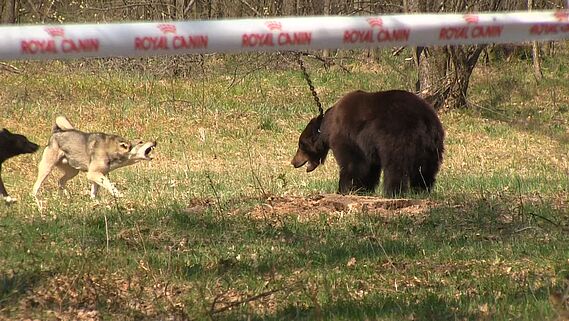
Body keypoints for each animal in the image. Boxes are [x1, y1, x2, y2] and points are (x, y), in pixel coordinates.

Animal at [292, 89, 444, 196]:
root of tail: (424, 119)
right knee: (426, 170)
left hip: (398, 138)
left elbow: (352, 164)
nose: (293, 162)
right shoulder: (367, 146)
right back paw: (421, 190)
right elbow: (369, 168)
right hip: (432, 146)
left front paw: (343, 189)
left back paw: (392, 192)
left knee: (395, 168)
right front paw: (364, 189)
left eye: (301, 145)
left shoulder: (347, 136)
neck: (327, 128)